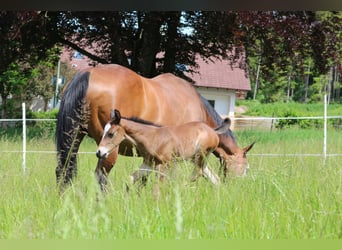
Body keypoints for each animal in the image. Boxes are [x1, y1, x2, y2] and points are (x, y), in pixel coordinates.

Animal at [95, 109, 231, 188]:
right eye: (104, 132)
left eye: (111, 134)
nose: (99, 152)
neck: (152, 137)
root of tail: (213, 130)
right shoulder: (148, 164)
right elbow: (130, 180)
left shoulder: (162, 165)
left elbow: (157, 189)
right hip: (197, 159)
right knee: (214, 178)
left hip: (200, 156)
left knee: (197, 173)